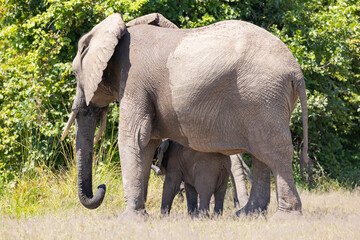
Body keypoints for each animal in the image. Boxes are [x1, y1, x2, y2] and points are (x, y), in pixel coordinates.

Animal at [62, 12, 310, 217]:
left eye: (74, 74)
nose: (101, 187)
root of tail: (296, 70)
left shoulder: (134, 80)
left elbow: (134, 137)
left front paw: (129, 219)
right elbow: (147, 141)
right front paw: (141, 215)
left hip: (263, 96)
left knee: (275, 152)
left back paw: (285, 217)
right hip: (265, 99)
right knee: (261, 155)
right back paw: (248, 214)